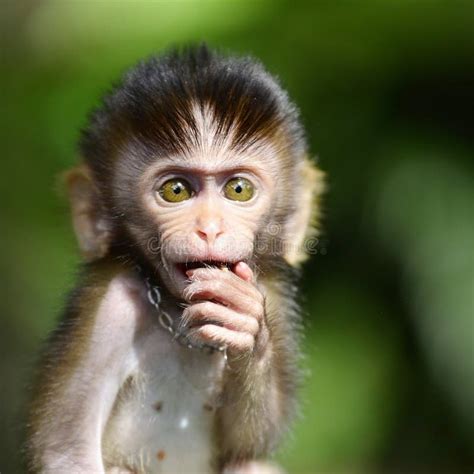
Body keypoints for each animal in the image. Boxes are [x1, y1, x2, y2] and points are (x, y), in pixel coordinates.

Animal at [25, 45, 322, 474]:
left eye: (238, 189)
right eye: (176, 190)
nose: (210, 229)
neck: (173, 310)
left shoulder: (271, 293)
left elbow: (249, 442)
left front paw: (244, 325)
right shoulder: (111, 302)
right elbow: (66, 451)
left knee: (253, 464)